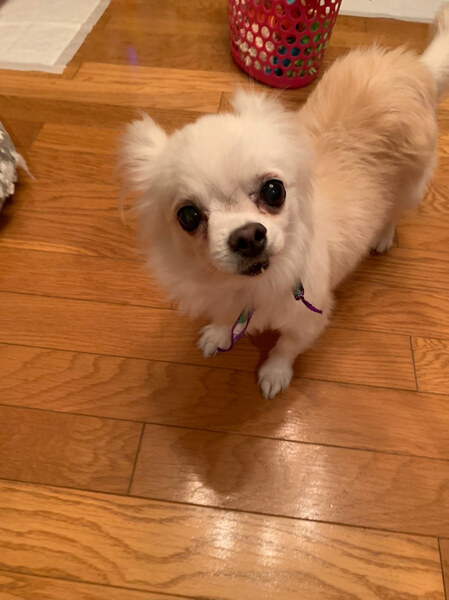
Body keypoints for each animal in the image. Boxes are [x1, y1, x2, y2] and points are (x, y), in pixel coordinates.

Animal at [122, 6, 449, 398]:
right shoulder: (223, 300)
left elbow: (286, 347)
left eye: (274, 191)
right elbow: (223, 320)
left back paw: (383, 237)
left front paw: (275, 373)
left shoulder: (308, 318)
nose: (248, 236)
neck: (247, 288)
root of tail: (414, 66)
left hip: (412, 183)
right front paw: (218, 334)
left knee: (395, 210)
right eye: (188, 216)